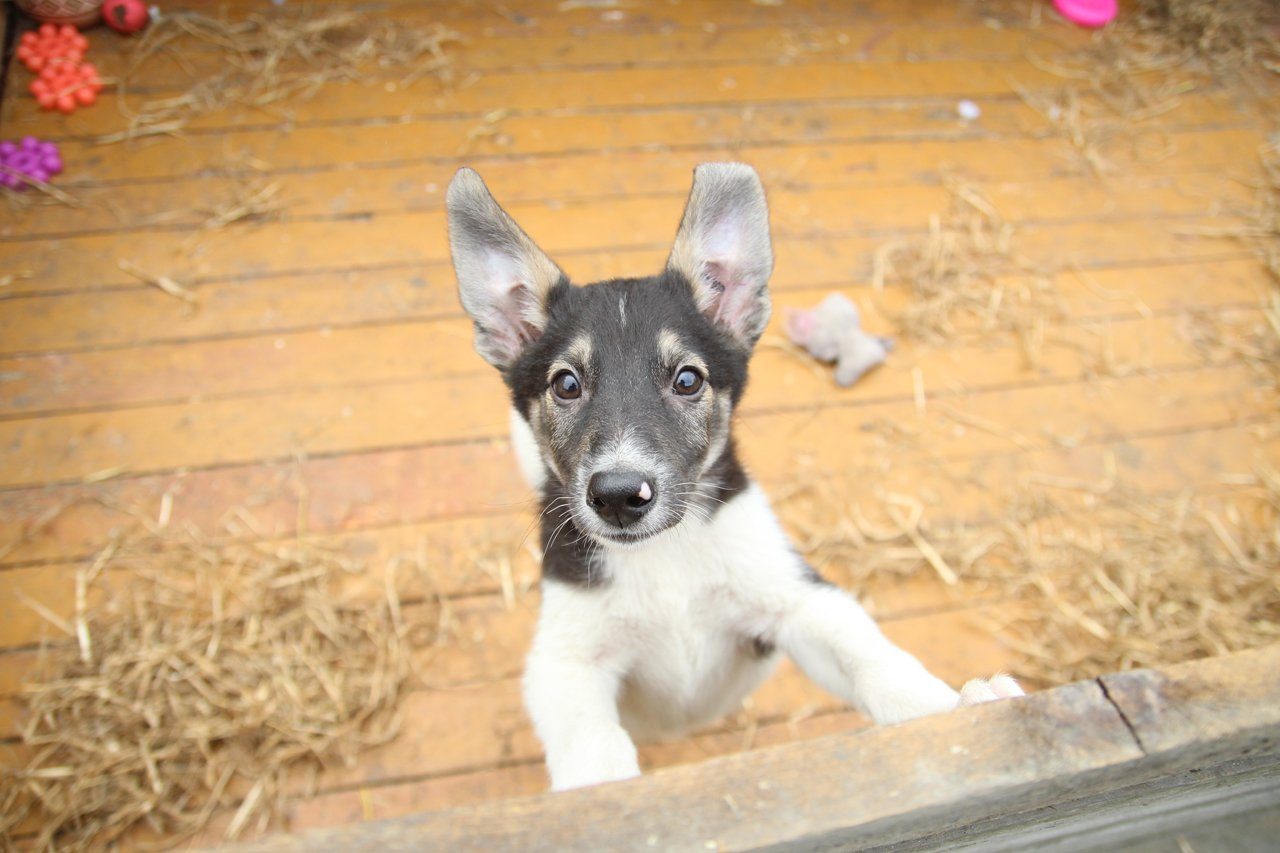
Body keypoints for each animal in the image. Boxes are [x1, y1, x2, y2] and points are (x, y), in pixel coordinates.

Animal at [445, 162, 1024, 788]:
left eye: (688, 380)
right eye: (566, 384)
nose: (619, 497)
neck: (666, 556)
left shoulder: (797, 598)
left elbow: (873, 660)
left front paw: (958, 708)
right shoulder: (566, 662)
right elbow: (594, 758)